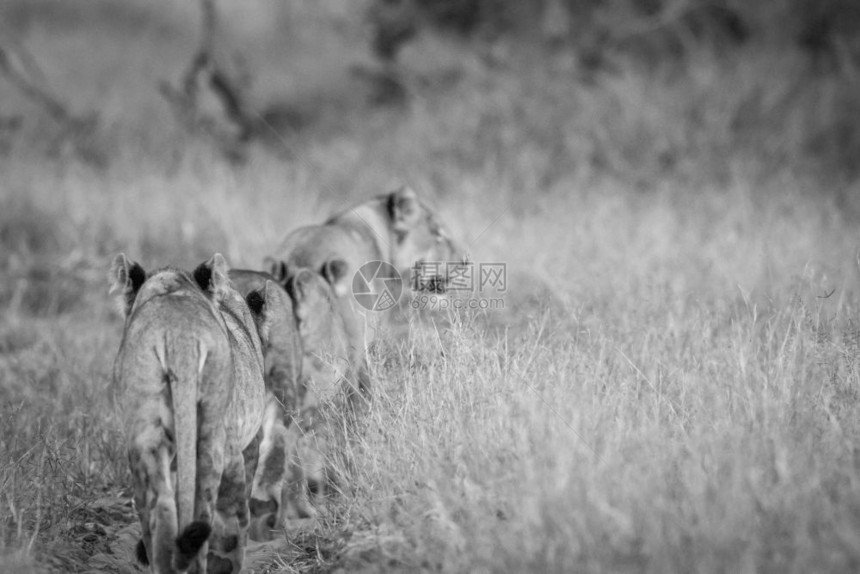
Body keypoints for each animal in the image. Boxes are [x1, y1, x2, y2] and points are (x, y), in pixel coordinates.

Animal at [110, 254, 266, 574]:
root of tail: (177, 332)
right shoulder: (253, 440)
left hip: (145, 440)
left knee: (161, 512)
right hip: (218, 443)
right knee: (220, 518)